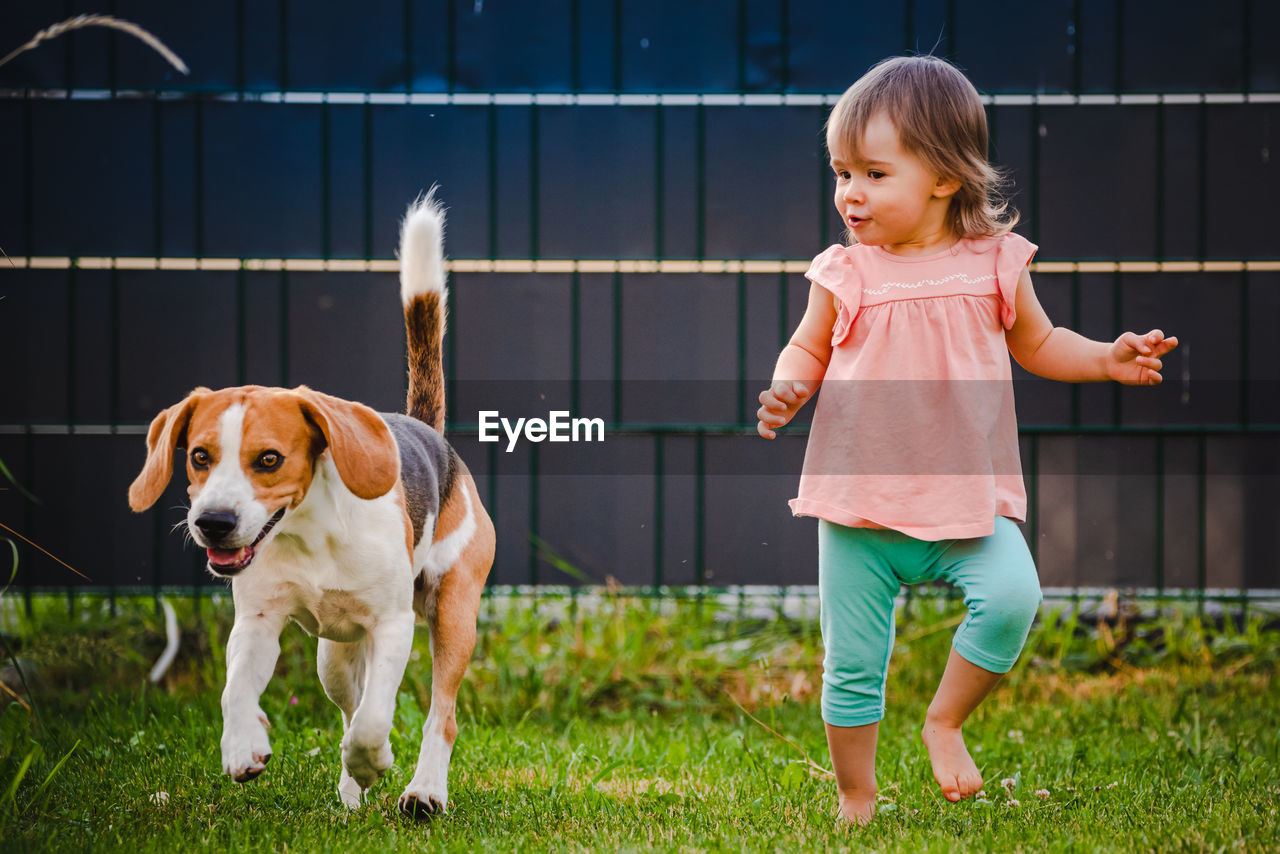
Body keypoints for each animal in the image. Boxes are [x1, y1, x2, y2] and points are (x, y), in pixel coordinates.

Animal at [126, 193, 494, 814]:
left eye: (269, 459)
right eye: (199, 456)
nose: (213, 523)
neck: (310, 534)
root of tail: (429, 432)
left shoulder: (394, 624)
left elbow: (375, 720)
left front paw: (374, 758)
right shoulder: (256, 621)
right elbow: (234, 691)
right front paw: (243, 746)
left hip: (452, 612)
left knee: (434, 713)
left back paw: (422, 790)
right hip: (332, 656)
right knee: (349, 702)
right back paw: (350, 793)